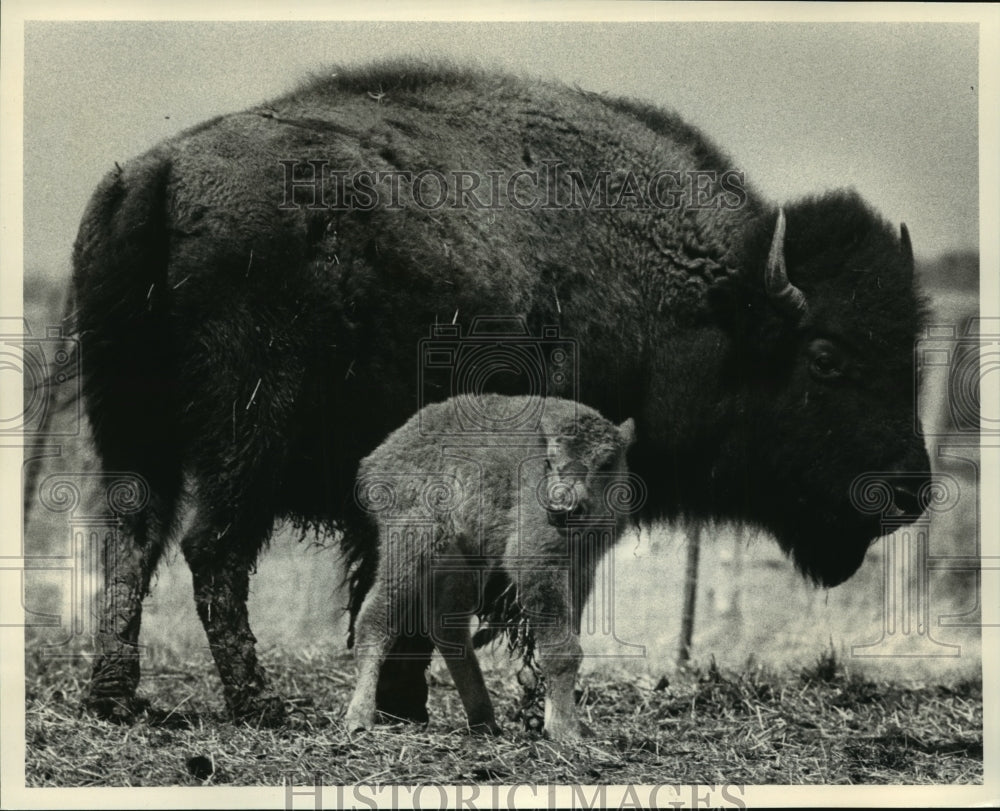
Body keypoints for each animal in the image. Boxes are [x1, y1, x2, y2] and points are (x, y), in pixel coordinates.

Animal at [344, 394, 636, 744]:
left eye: (607, 462)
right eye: (550, 461)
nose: (562, 509)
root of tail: (378, 457)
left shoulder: (581, 570)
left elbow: (570, 636)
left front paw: (570, 725)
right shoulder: (535, 562)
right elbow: (561, 649)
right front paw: (566, 731)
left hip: (463, 560)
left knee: (447, 623)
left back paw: (484, 721)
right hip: (411, 542)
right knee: (376, 616)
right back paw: (359, 718)